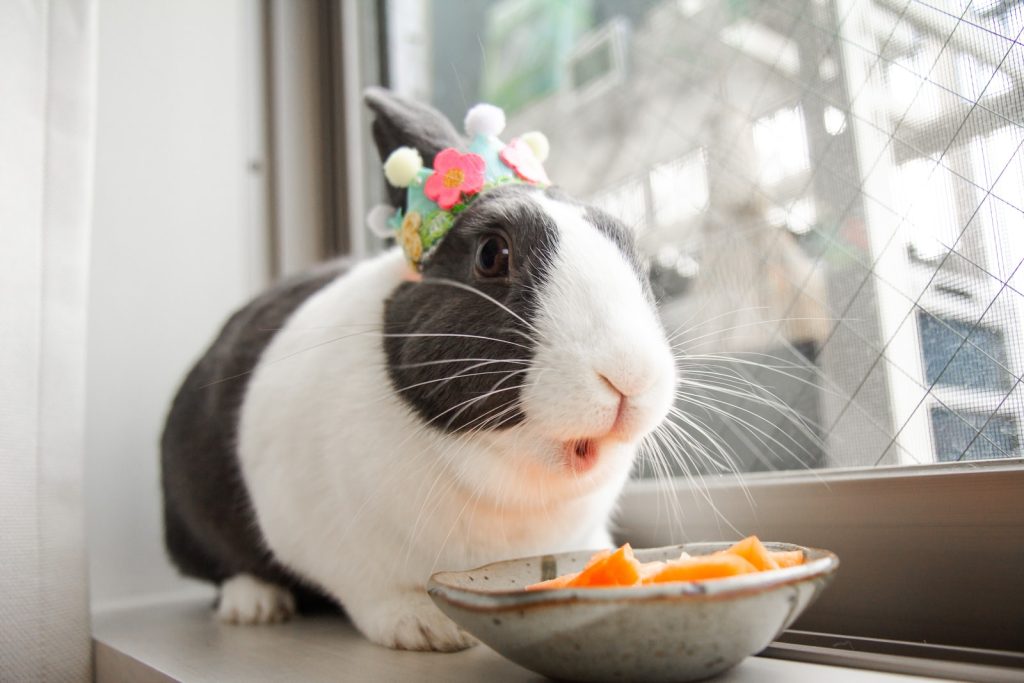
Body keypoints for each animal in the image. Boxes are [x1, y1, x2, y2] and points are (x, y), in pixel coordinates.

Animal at [159, 88, 675, 655]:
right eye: (491, 255)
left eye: (631, 250)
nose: (629, 375)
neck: (513, 483)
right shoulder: (339, 547)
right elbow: (377, 591)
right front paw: (428, 628)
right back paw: (254, 605)